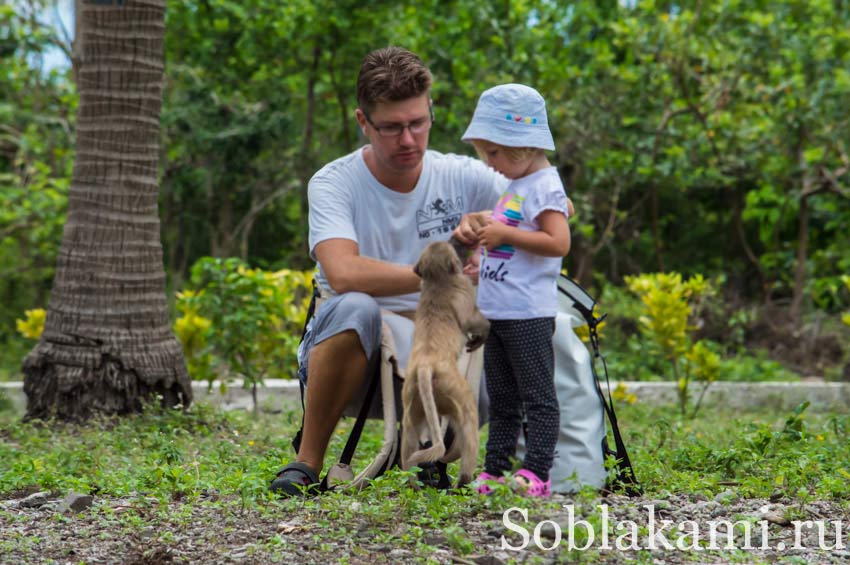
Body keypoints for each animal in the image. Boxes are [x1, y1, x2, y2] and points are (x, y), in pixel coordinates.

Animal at [400, 240, 486, 486]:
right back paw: (464, 481)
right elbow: (471, 320)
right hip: (455, 390)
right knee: (468, 424)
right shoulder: (464, 288)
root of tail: (426, 365)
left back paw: (412, 481)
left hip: (412, 396)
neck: (437, 280)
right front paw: (483, 332)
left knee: (409, 435)